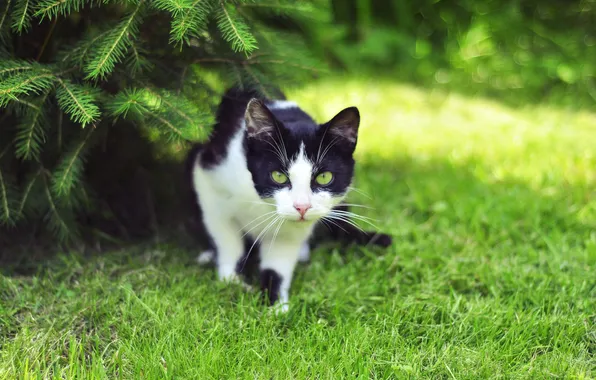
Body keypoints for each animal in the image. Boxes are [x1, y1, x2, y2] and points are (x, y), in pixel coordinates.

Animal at [186, 87, 392, 314]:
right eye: (278, 176)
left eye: (324, 177)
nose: (302, 207)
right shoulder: (210, 177)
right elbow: (227, 238)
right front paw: (233, 280)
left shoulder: (290, 232)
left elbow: (278, 261)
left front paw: (275, 304)